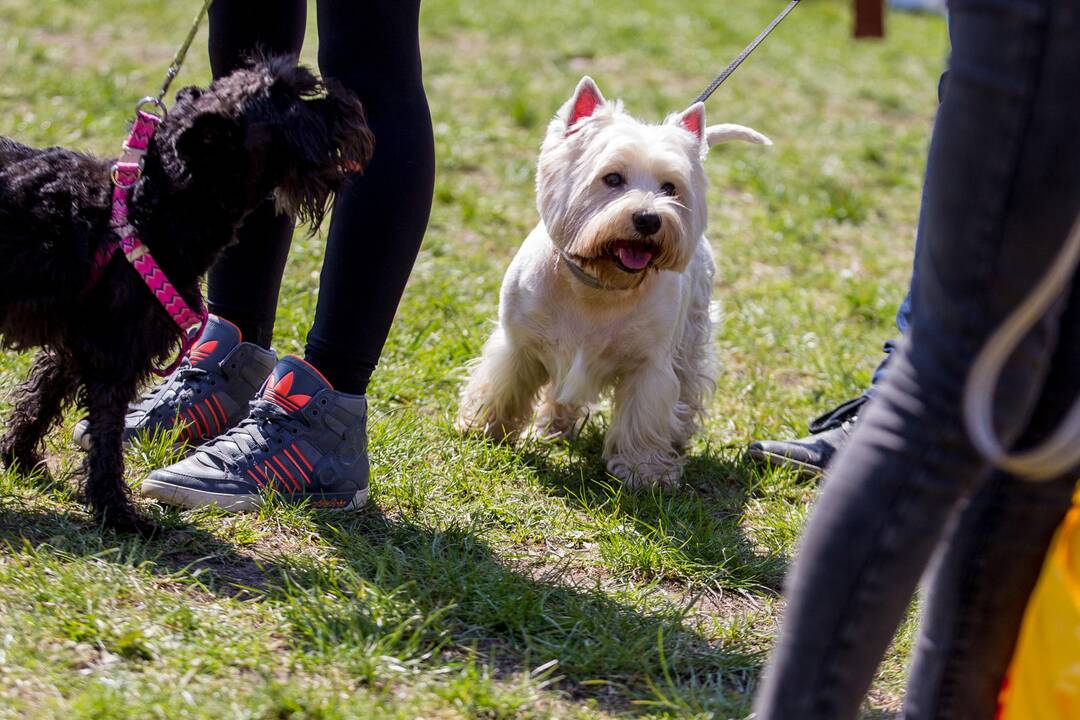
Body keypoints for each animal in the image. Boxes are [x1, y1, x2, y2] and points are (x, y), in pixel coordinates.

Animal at [0, 59, 375, 533]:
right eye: (290, 103)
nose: (350, 106)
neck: (149, 208)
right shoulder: (113, 358)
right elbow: (104, 441)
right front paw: (119, 515)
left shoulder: (80, 343)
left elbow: (40, 398)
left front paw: (18, 457)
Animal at [455, 76, 768, 487]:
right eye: (612, 178)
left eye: (670, 187)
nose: (649, 219)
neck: (597, 285)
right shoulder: (517, 343)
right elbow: (503, 385)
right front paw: (483, 428)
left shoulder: (650, 366)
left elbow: (643, 416)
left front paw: (644, 470)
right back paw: (552, 427)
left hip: (692, 331)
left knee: (688, 383)